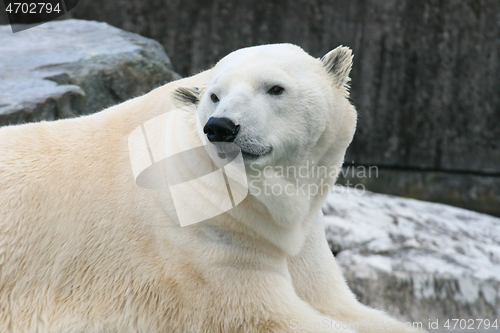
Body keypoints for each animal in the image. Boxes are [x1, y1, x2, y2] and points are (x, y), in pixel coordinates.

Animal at [0, 44, 426, 332]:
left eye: (275, 88)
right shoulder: (203, 246)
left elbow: (340, 305)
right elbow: (270, 314)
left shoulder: (304, 243)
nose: (221, 126)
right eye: (214, 96)